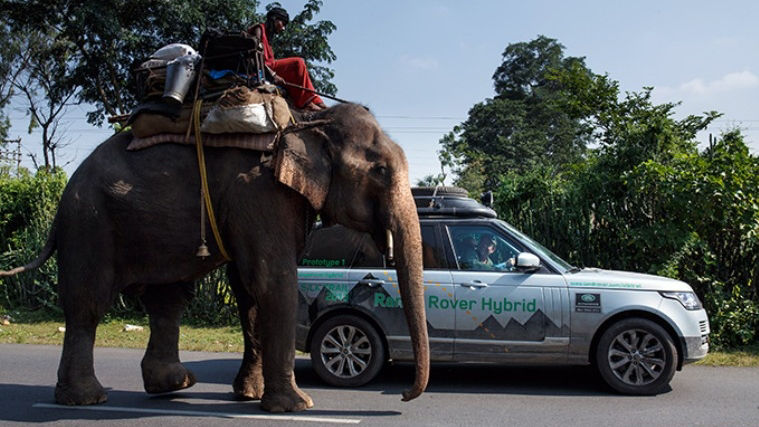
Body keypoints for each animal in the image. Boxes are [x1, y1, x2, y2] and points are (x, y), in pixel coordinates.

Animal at [0, 102, 428, 412]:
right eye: (380, 171)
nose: (403, 396)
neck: (305, 121)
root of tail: (61, 202)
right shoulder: (258, 194)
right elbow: (273, 280)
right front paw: (296, 406)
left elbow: (248, 290)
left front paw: (250, 396)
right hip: (90, 225)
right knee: (88, 303)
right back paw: (88, 399)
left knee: (168, 300)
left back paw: (174, 384)